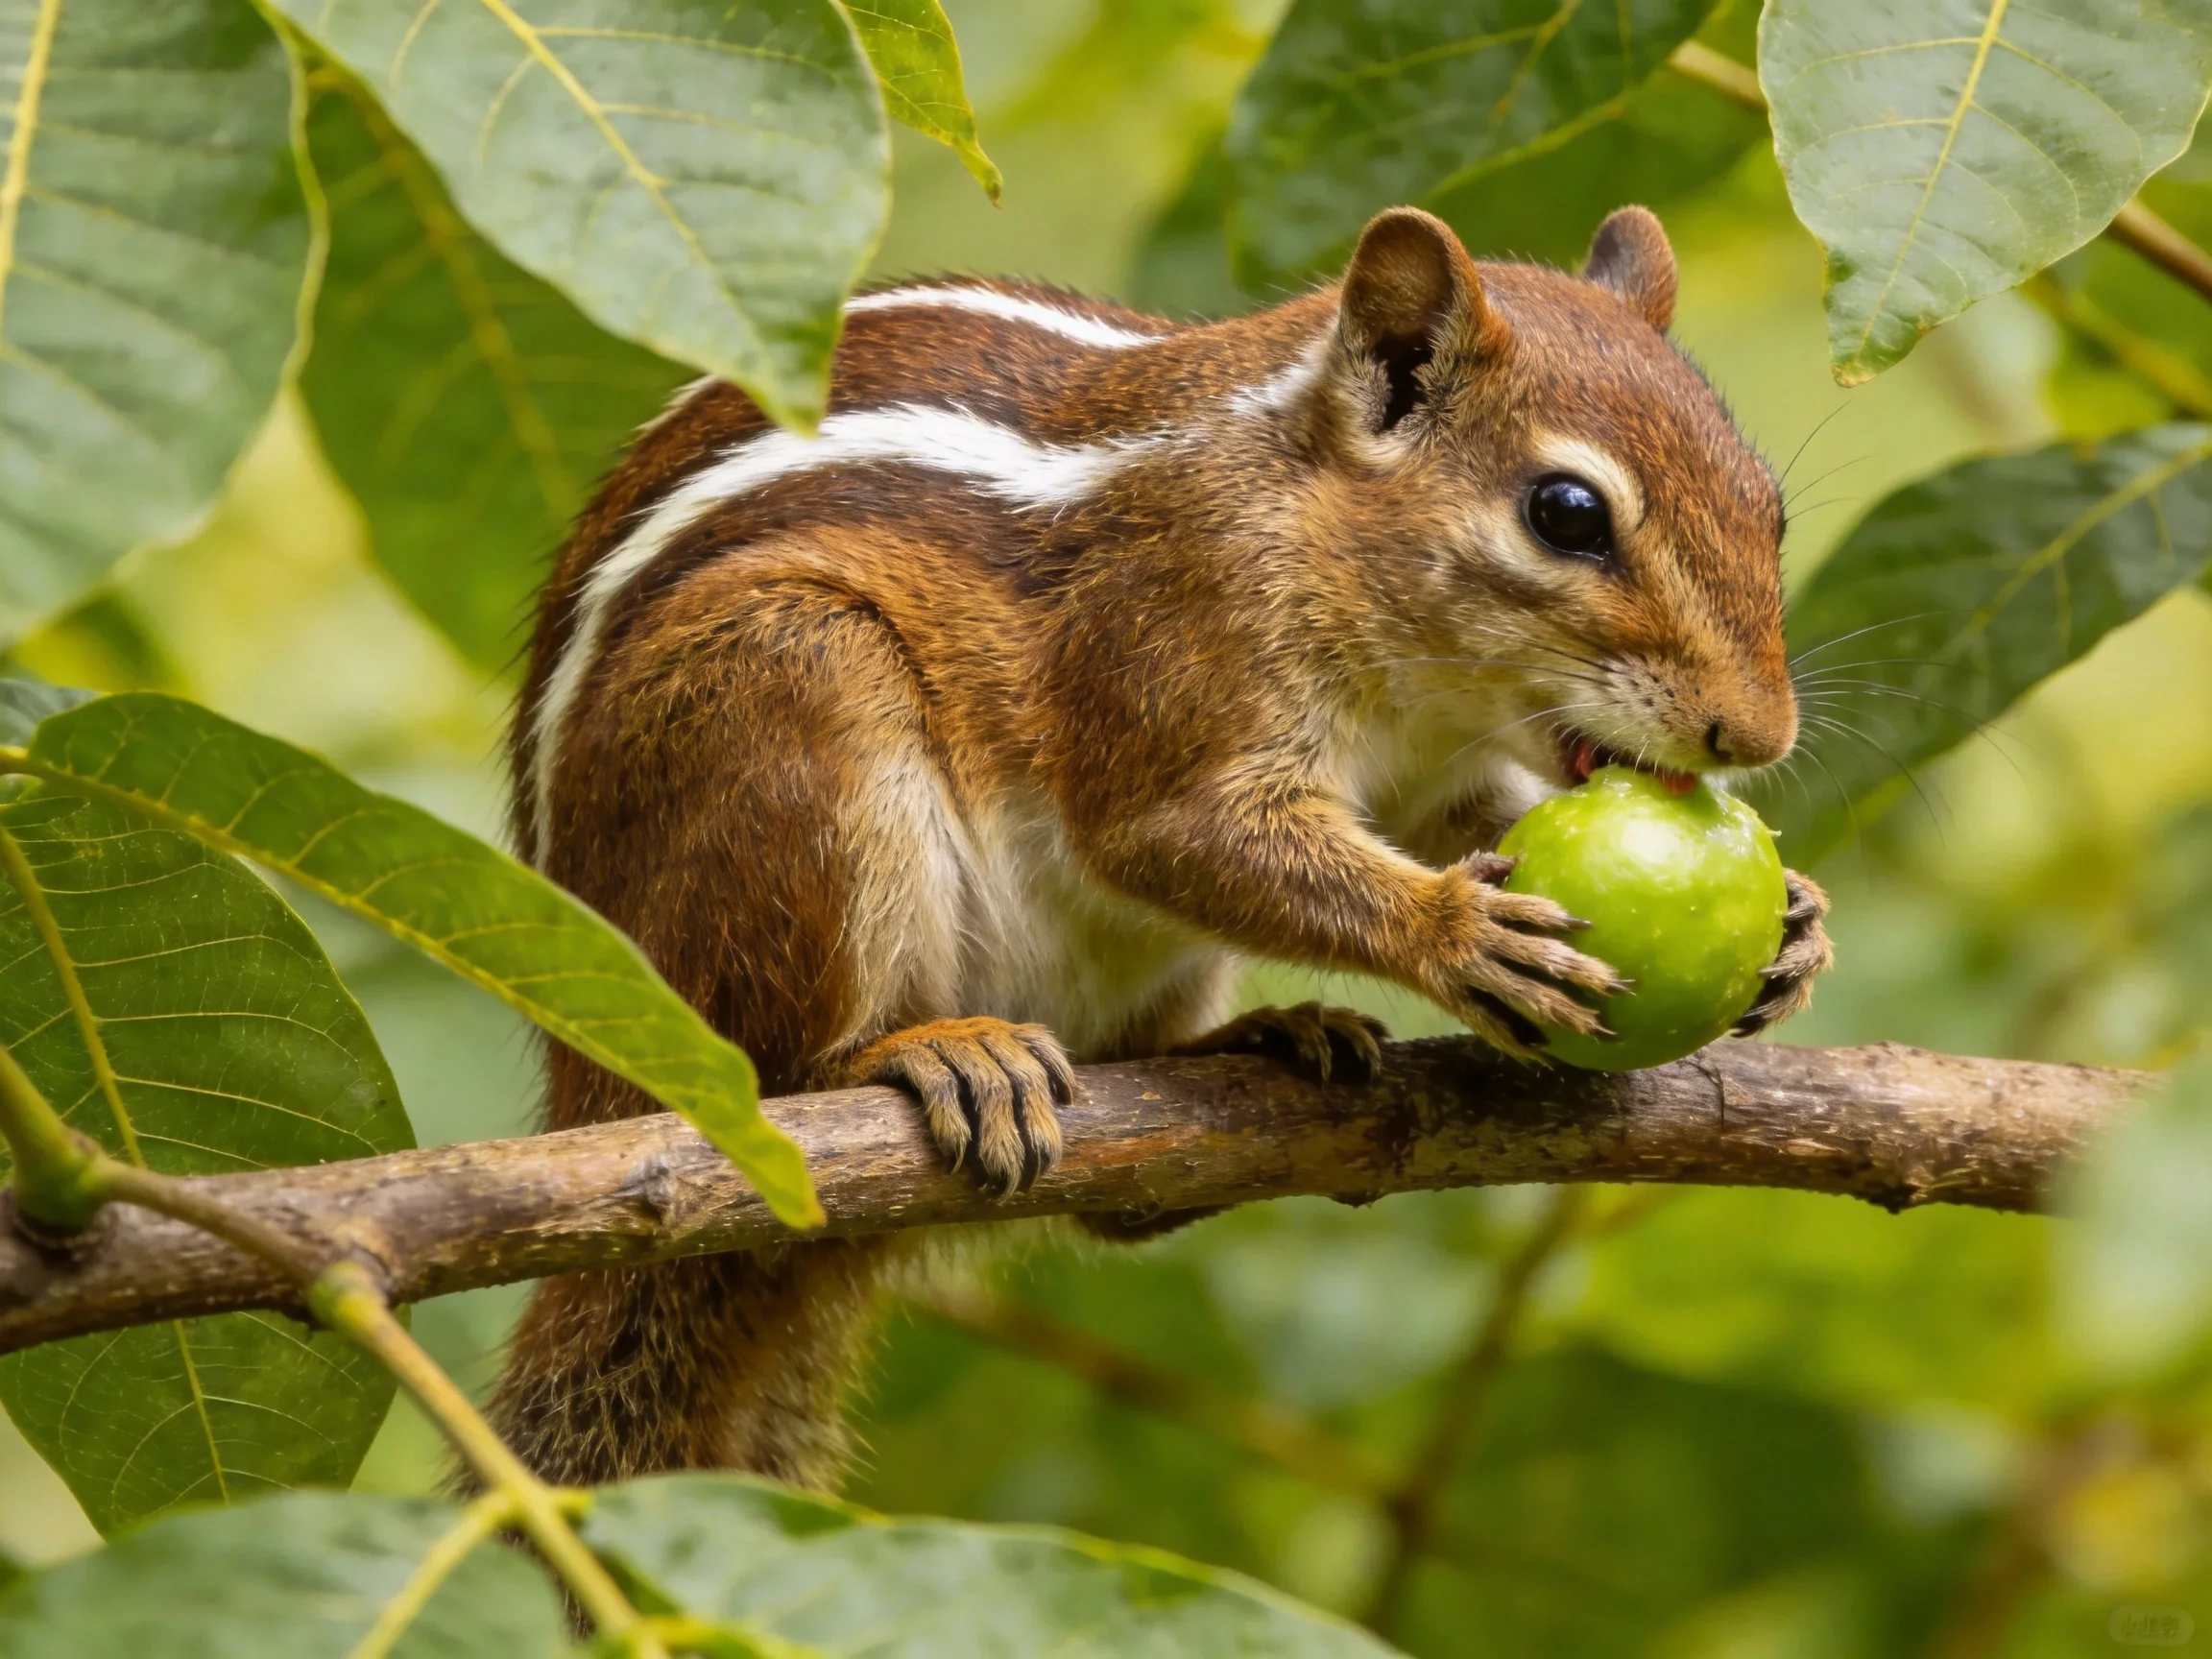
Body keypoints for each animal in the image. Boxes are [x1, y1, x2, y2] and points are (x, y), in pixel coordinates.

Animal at [486, 205, 1834, 1491]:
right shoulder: (1171, 651)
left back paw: (1260, 1038)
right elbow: (1181, 838)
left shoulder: (1430, 776)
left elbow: (1446, 825)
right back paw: (927, 1053)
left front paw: (1799, 923)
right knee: (776, 1071)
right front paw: (1456, 933)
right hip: (786, 695)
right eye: (1566, 515)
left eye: (1767, 506)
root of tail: (582, 1095)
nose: (1757, 732)